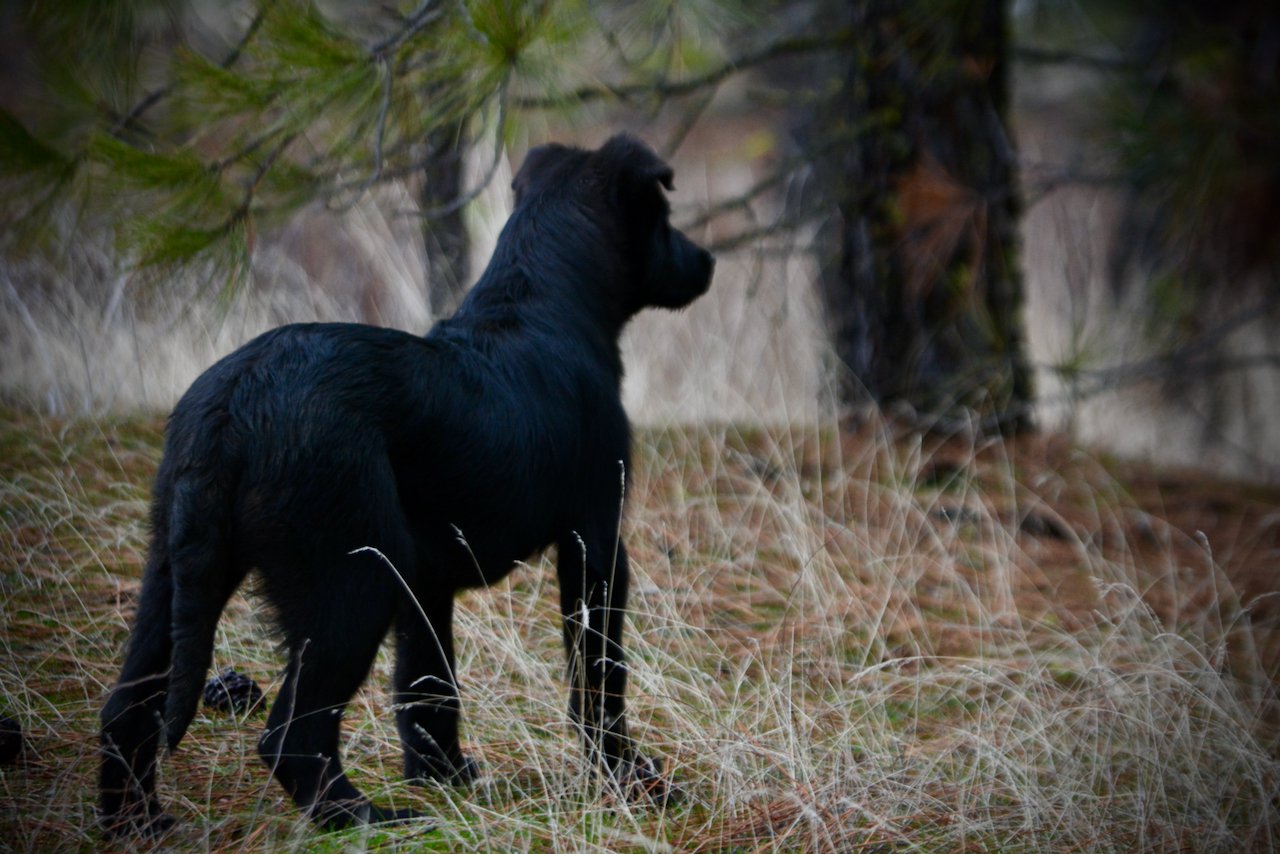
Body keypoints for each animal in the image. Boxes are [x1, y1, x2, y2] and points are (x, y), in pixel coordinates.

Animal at [97, 135, 721, 834]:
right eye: (662, 218)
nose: (707, 261)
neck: (544, 307)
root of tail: (234, 401)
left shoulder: (426, 574)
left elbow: (428, 683)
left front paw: (442, 774)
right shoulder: (595, 543)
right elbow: (599, 675)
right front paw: (628, 778)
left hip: (177, 570)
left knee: (128, 711)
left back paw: (138, 822)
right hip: (351, 581)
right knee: (289, 732)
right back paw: (362, 816)